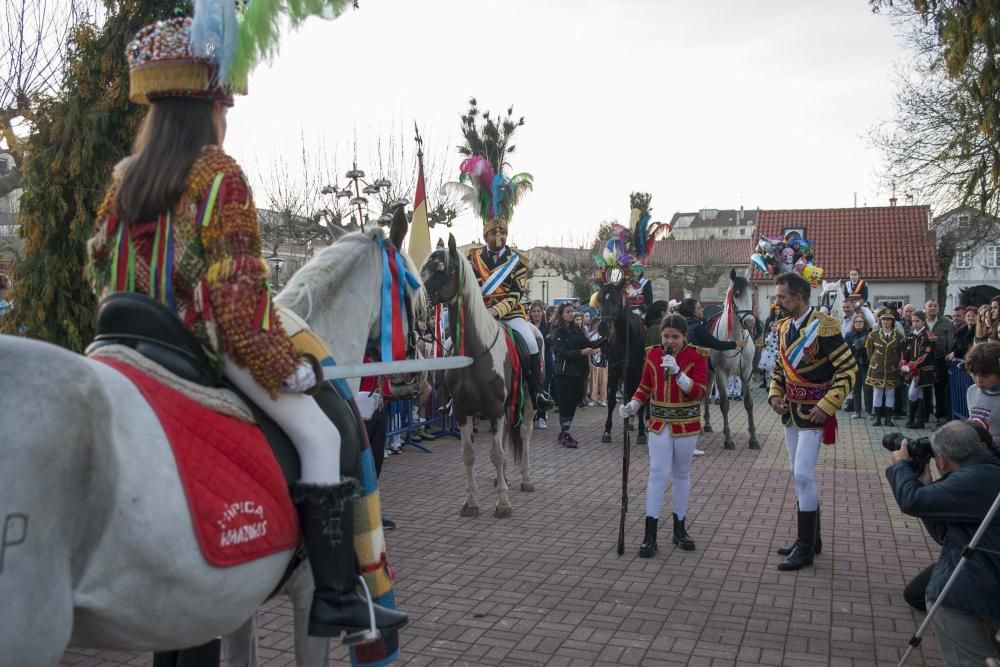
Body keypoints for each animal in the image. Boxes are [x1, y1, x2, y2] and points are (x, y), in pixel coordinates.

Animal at [418, 237, 536, 520]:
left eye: (441, 270)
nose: (417, 304)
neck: (474, 350)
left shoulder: (493, 408)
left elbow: (497, 455)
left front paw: (503, 503)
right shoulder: (463, 410)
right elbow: (469, 455)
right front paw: (471, 502)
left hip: (528, 402)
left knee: (524, 433)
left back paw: (526, 479)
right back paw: (501, 480)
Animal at [704, 272, 756, 454]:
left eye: (752, 294)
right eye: (737, 294)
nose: (750, 322)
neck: (735, 339)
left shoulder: (747, 372)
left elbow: (749, 404)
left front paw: (753, 439)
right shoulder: (721, 373)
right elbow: (725, 404)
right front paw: (728, 439)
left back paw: (706, 425)